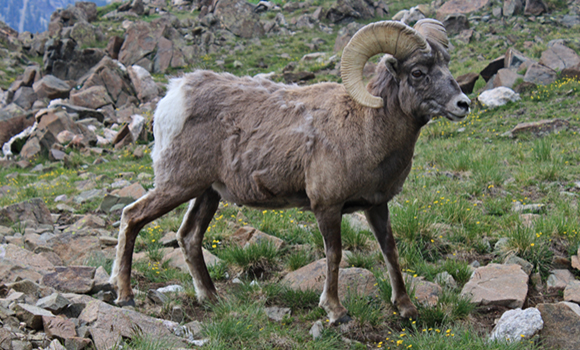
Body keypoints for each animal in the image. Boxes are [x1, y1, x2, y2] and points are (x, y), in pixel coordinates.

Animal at [110, 19, 472, 322]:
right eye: (418, 72)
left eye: (445, 65)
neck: (365, 127)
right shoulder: (327, 206)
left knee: (188, 236)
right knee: (132, 217)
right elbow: (334, 255)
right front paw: (336, 311)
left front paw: (407, 307)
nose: (463, 104)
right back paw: (125, 296)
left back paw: (211, 298)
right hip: (177, 185)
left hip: (207, 193)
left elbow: (390, 251)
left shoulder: (376, 205)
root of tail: (174, 97)